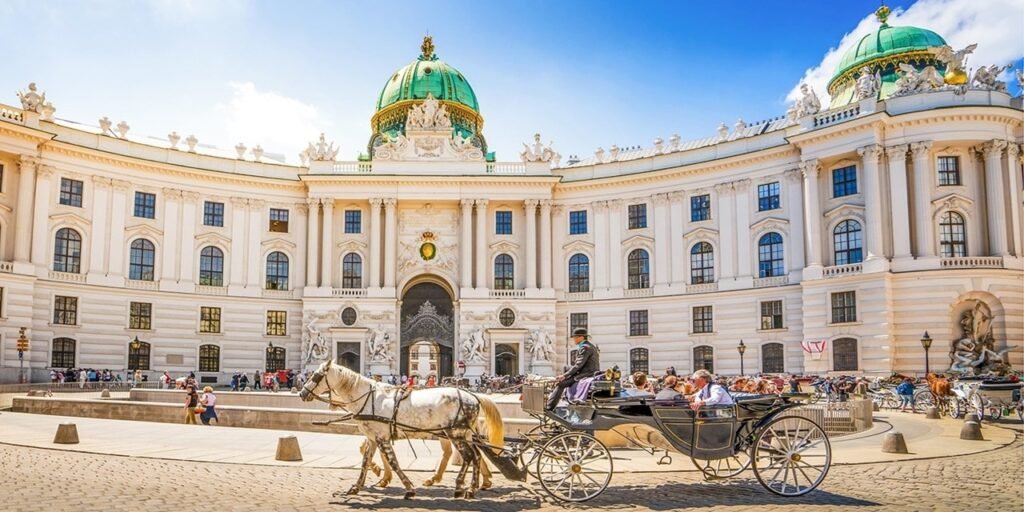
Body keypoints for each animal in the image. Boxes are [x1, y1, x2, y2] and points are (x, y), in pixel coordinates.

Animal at [299, 358, 501, 497]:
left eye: (316, 376)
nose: (301, 393)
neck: (368, 398)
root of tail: (472, 396)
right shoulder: (373, 438)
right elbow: (365, 461)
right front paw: (357, 486)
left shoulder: (381, 437)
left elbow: (393, 462)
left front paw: (408, 487)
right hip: (463, 434)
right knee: (476, 455)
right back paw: (471, 486)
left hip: (455, 433)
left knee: (468, 456)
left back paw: (462, 486)